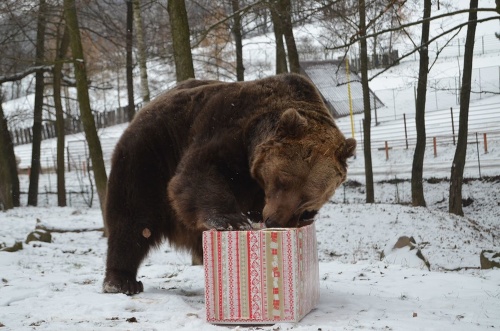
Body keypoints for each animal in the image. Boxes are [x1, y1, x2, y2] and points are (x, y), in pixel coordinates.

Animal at [102, 73, 356, 296]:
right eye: (282, 181)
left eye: (307, 199)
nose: (274, 220)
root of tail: (144, 109)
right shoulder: (228, 129)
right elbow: (199, 172)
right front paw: (233, 220)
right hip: (150, 155)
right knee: (133, 218)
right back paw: (121, 281)